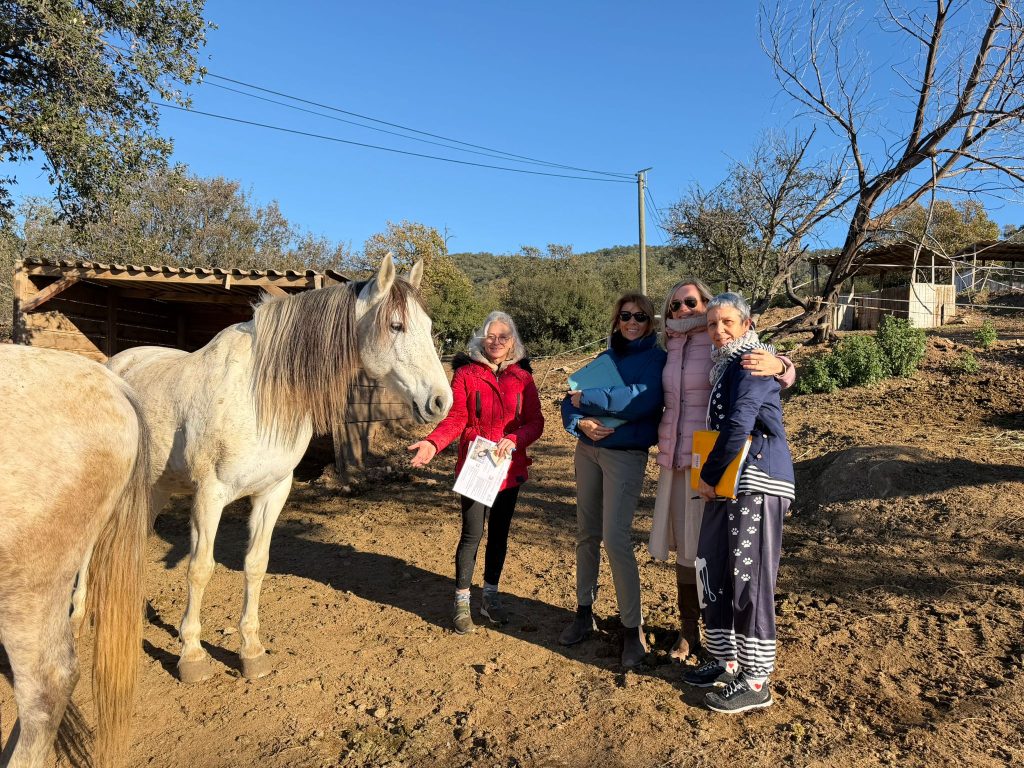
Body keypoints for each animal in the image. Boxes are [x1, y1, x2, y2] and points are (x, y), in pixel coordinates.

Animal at [72, 254, 453, 684]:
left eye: (429, 327)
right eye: (395, 325)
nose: (441, 401)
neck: (258, 394)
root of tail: (113, 364)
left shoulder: (273, 491)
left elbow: (256, 565)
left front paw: (251, 652)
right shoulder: (210, 495)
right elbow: (199, 569)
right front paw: (192, 656)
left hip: (156, 488)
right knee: (89, 546)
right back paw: (79, 618)